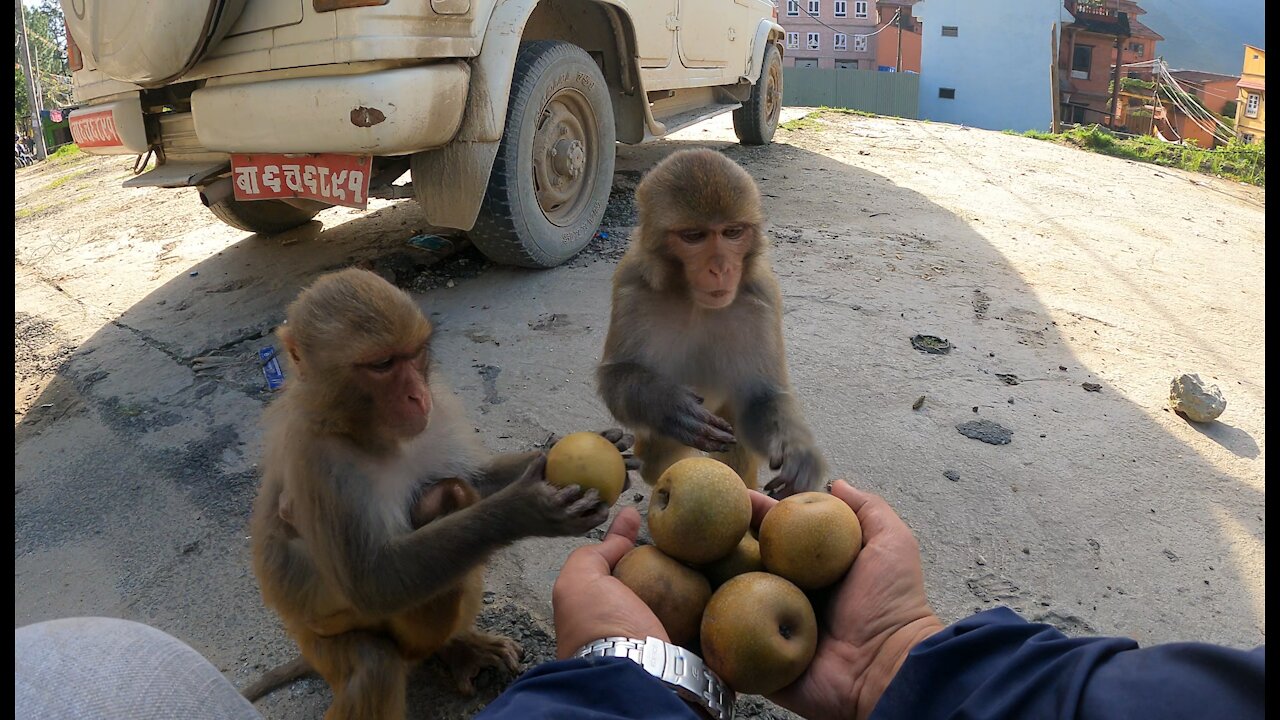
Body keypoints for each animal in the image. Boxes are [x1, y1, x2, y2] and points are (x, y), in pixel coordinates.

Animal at [244, 267, 624, 712]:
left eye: (414, 354)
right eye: (382, 364)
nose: (416, 395)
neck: (372, 433)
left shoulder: (437, 409)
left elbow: (477, 480)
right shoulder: (320, 461)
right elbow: (373, 581)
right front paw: (522, 509)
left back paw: (457, 646)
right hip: (321, 639)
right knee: (375, 663)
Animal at [593, 148, 824, 497]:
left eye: (732, 232)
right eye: (694, 236)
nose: (720, 268)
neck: (694, 301)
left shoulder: (763, 296)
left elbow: (761, 397)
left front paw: (799, 454)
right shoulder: (631, 284)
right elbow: (615, 374)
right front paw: (667, 405)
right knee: (657, 461)